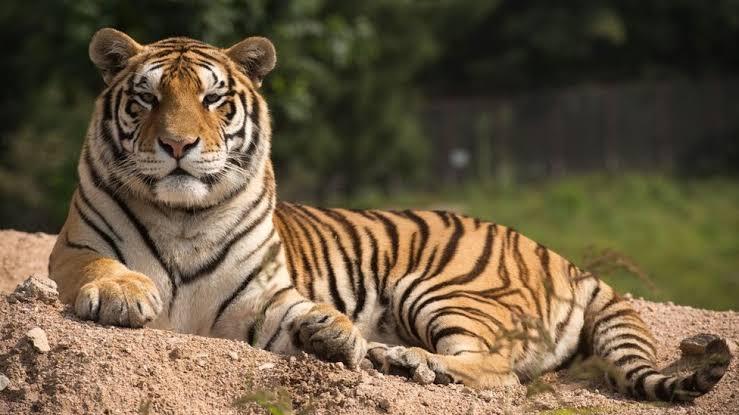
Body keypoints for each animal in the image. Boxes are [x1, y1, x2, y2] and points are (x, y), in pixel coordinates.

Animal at [49, 26, 732, 404]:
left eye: (214, 100)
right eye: (147, 98)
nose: (178, 146)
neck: (185, 217)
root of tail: (558, 256)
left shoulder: (263, 295)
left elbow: (298, 313)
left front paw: (331, 333)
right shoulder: (75, 248)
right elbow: (98, 269)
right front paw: (125, 295)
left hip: (445, 290)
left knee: (499, 372)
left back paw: (405, 360)